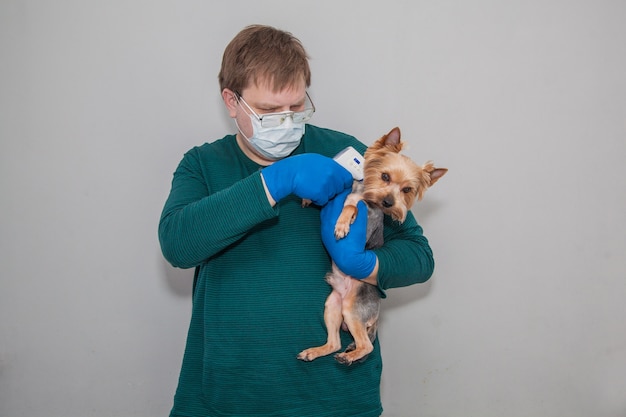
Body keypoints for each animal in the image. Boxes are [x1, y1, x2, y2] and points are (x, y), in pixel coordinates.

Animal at [296, 127, 444, 364]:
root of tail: (376, 316)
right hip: (333, 306)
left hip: (352, 310)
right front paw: (310, 198)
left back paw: (348, 357)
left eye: (407, 190)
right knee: (334, 342)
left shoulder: (366, 217)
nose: (387, 203)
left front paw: (341, 225)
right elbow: (336, 198)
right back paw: (315, 351)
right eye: (384, 176)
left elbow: (351, 207)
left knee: (366, 345)